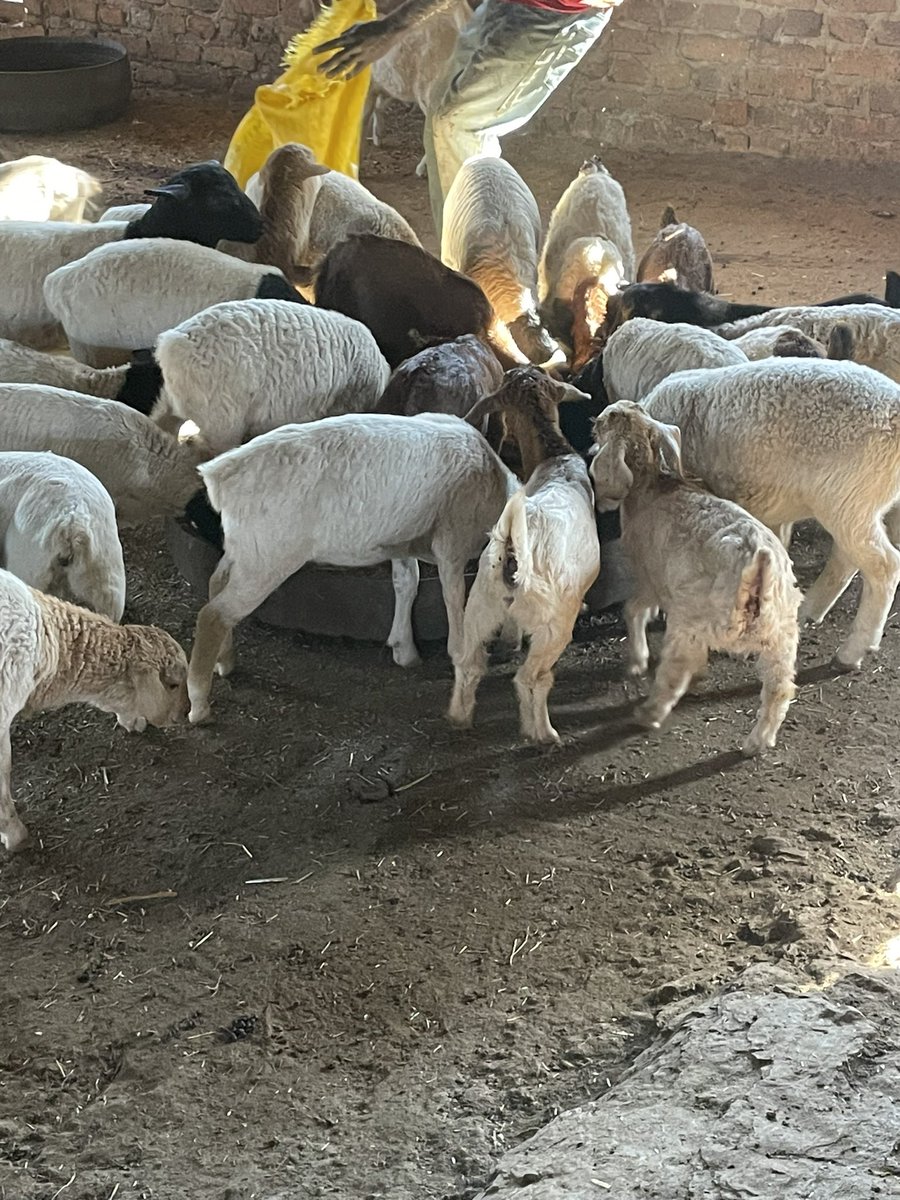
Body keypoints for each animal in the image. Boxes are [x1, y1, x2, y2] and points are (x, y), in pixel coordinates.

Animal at [185, 412, 519, 724]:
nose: (515, 646)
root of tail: (221, 475)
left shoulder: (400, 542)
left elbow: (406, 583)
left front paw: (404, 649)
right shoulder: (452, 543)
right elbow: (454, 604)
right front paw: (462, 661)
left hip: (245, 549)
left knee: (215, 582)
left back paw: (225, 661)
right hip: (269, 556)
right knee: (213, 615)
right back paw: (199, 703)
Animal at [446, 369, 600, 743]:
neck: (555, 460)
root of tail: (512, 553)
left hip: (479, 607)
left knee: (468, 663)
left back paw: (458, 717)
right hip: (552, 625)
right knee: (532, 678)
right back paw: (542, 733)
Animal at [590, 400, 801, 755]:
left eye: (606, 423)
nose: (594, 421)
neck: (652, 486)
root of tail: (757, 561)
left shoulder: (650, 577)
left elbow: (634, 610)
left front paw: (637, 660)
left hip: (691, 620)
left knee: (675, 671)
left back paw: (649, 713)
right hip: (781, 634)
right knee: (780, 688)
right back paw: (757, 741)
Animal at [641, 358, 900, 670]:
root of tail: (895, 408)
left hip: (848, 497)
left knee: (884, 566)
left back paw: (852, 651)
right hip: (851, 503)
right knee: (846, 559)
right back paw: (810, 610)